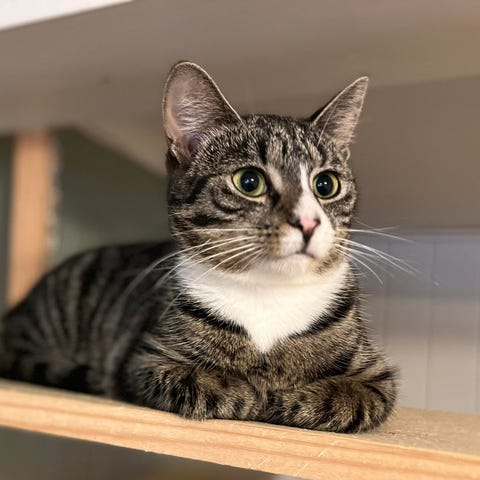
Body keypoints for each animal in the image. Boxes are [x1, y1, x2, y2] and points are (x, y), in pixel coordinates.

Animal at [0, 61, 397, 433]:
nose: (309, 223)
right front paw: (245, 391)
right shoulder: (145, 358)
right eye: (249, 181)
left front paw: (286, 397)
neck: (268, 292)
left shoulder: (377, 377)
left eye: (326, 185)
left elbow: (347, 397)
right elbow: (200, 382)